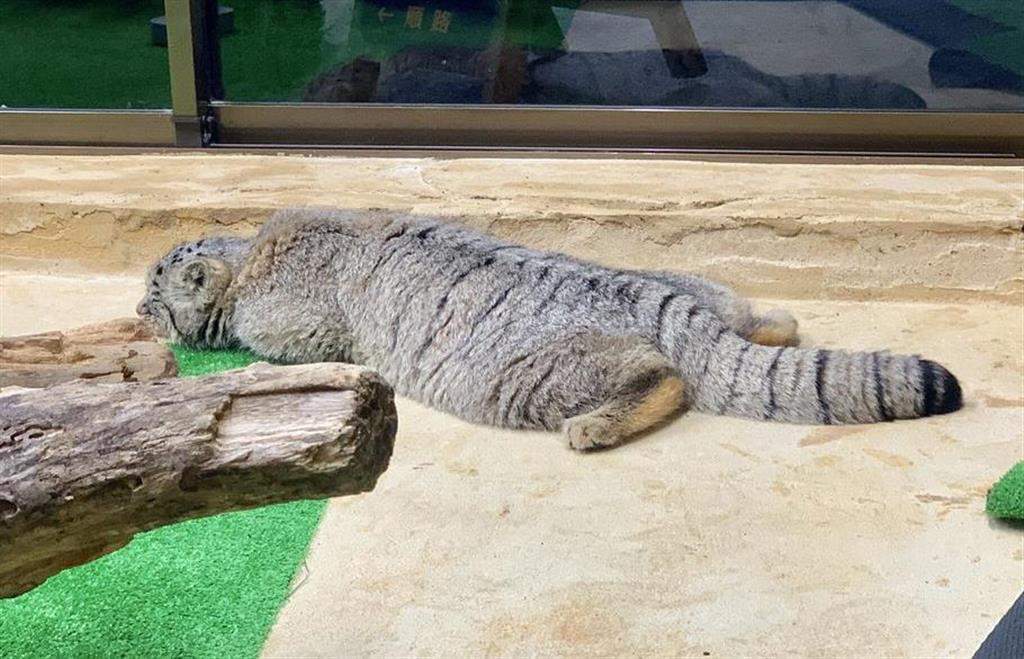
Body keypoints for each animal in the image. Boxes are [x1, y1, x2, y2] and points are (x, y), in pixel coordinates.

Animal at [136, 208, 958, 450]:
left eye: (150, 296)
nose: (136, 313)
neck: (248, 257)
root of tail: (664, 303)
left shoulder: (300, 329)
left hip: (523, 378)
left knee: (666, 379)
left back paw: (597, 426)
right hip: (699, 288)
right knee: (756, 317)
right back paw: (773, 324)